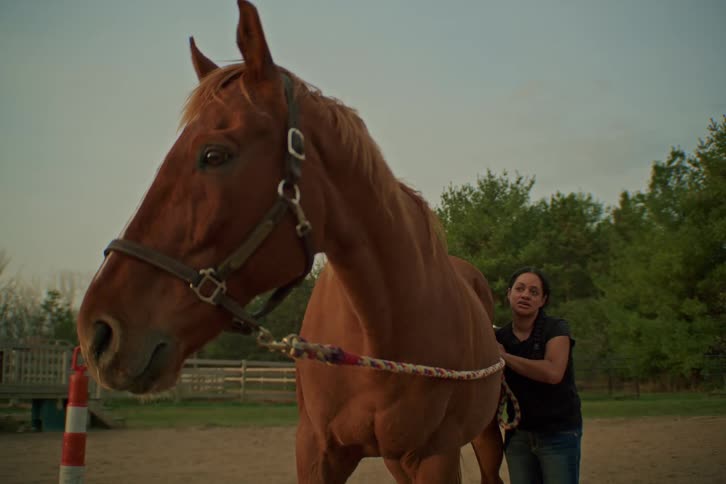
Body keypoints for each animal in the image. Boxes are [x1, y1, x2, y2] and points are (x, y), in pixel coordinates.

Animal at [76, 2, 504, 482]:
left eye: (214, 154)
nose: (97, 332)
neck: (378, 334)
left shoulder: (436, 456)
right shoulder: (317, 450)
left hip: (486, 436)